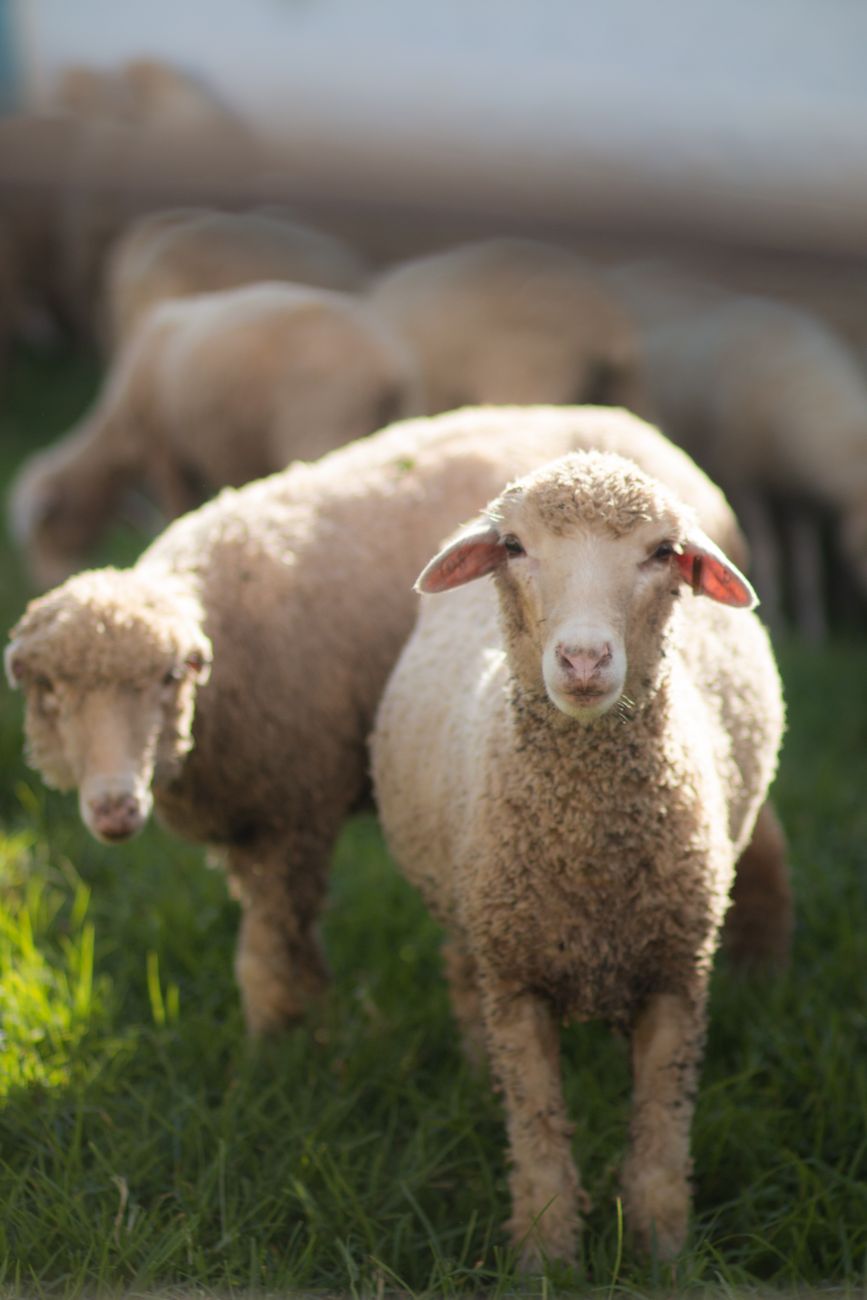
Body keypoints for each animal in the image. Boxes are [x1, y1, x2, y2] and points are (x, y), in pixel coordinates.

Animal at [5, 405, 782, 1040]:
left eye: (168, 678)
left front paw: (283, 1047)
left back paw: (759, 962)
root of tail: (646, 433)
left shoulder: (291, 814)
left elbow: (271, 953)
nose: (113, 808)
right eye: (50, 693)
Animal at [9, 280, 421, 589]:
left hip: (322, 426)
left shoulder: (166, 452)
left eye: (46, 525)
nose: (44, 581)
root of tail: (389, 367)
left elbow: (177, 508)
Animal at [370, 449, 785, 1268]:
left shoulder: (676, 976)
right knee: (462, 979)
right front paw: (545, 1257)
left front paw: (663, 1254)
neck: (588, 853)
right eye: (513, 546)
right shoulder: (516, 980)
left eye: (662, 552)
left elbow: (659, 1134)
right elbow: (536, 1131)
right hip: (469, 909)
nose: (584, 659)